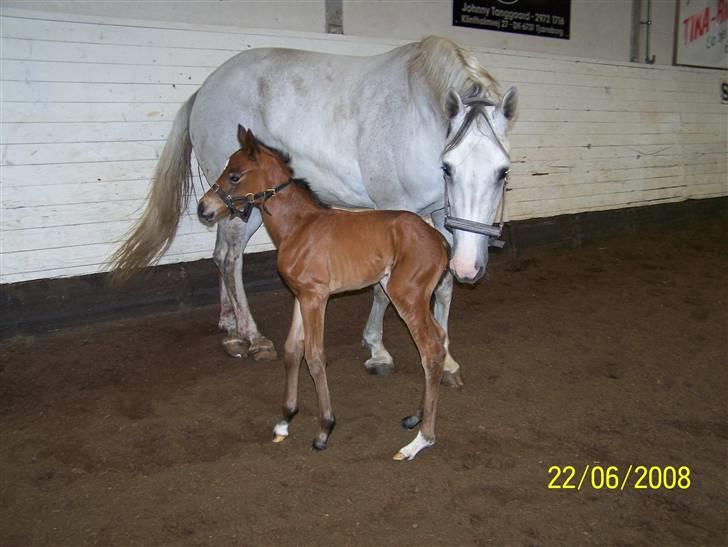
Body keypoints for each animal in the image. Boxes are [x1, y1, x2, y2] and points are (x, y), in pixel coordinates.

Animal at [111, 36, 516, 388]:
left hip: (237, 205)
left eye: (503, 171)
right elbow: (382, 289)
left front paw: (447, 361)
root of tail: (205, 90)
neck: (418, 118)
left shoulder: (443, 216)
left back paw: (230, 327)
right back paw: (252, 337)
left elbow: (444, 285)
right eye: (447, 166)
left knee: (220, 255)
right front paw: (378, 351)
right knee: (229, 258)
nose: (471, 269)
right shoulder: (394, 210)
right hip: (243, 204)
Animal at [199, 126, 450, 460]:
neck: (298, 226)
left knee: (430, 349)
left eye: (235, 176)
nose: (203, 209)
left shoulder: (315, 298)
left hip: (406, 295)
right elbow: (292, 350)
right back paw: (416, 417)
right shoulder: (300, 296)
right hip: (413, 296)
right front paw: (285, 419)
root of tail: (439, 240)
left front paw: (324, 429)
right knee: (439, 338)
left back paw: (420, 441)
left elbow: (315, 356)